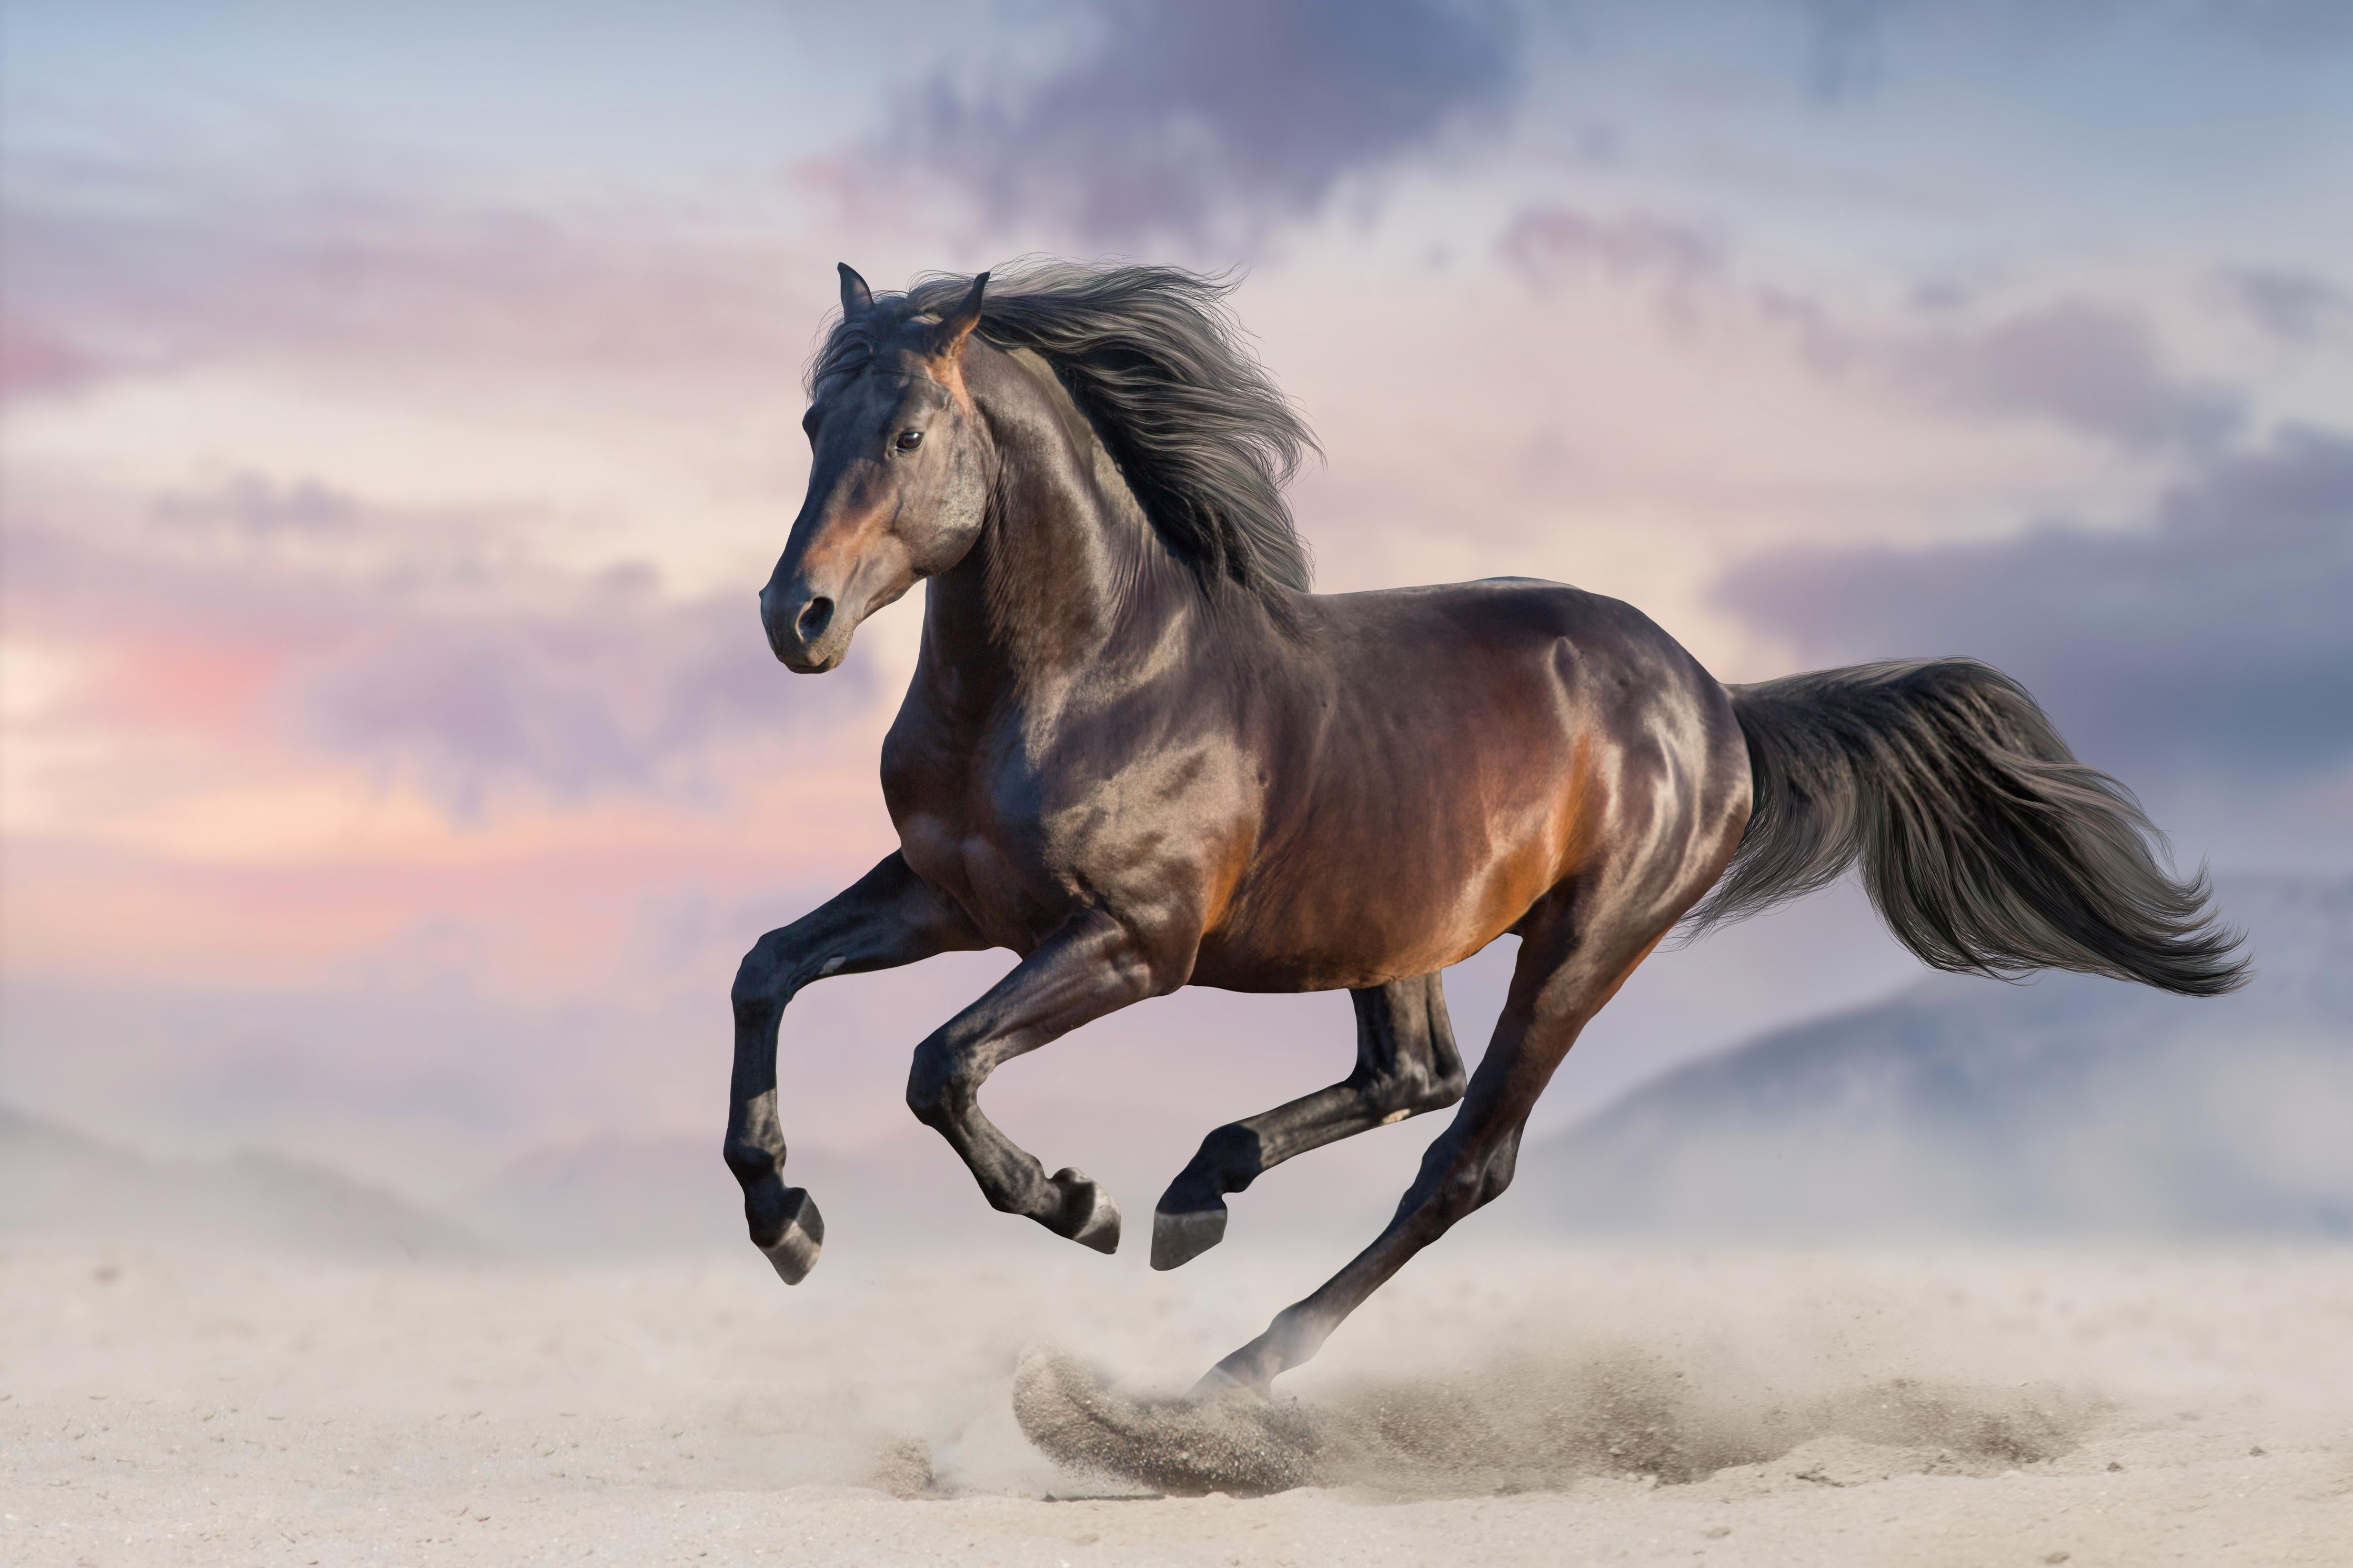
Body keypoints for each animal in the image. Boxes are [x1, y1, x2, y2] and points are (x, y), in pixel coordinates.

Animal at [720, 257, 2240, 1401]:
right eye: (806, 428)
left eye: (906, 433)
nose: (794, 617)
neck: (1093, 670)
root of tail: (1713, 699)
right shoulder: (950, 895)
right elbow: (767, 968)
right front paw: (785, 1220)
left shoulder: (1131, 942)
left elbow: (938, 1063)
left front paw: (1070, 1199)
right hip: (1390, 920)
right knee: (1410, 1073)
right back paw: (1200, 1194)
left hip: (1582, 942)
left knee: (1464, 1154)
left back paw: (1236, 1360)